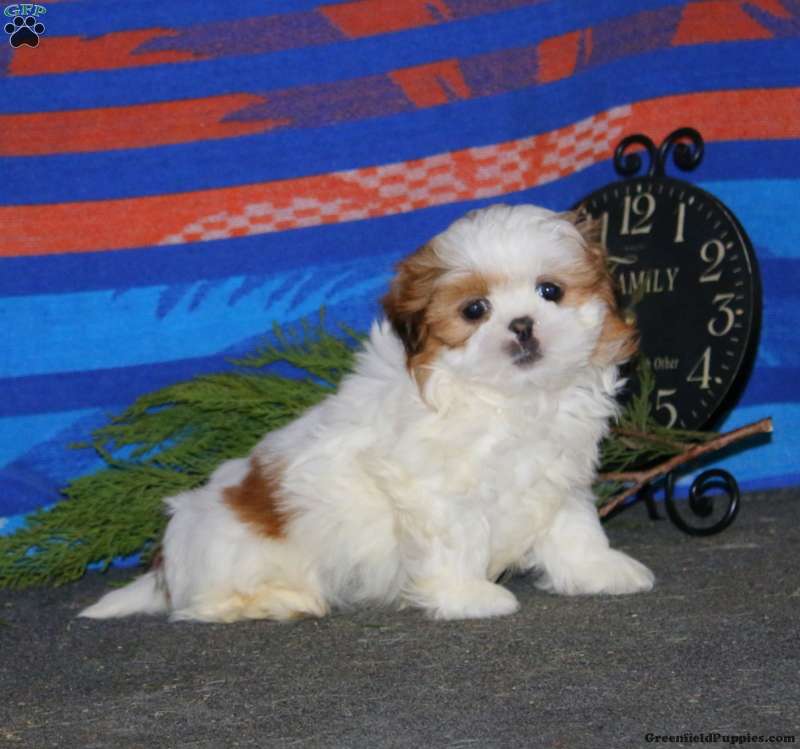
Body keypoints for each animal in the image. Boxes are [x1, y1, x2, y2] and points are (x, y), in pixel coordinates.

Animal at [80, 204, 654, 623]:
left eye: (550, 291)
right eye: (474, 310)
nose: (522, 325)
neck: (510, 399)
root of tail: (168, 566)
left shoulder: (557, 473)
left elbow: (574, 526)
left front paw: (600, 570)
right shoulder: (434, 489)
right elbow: (457, 541)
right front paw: (468, 597)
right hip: (232, 553)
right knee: (205, 605)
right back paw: (280, 600)